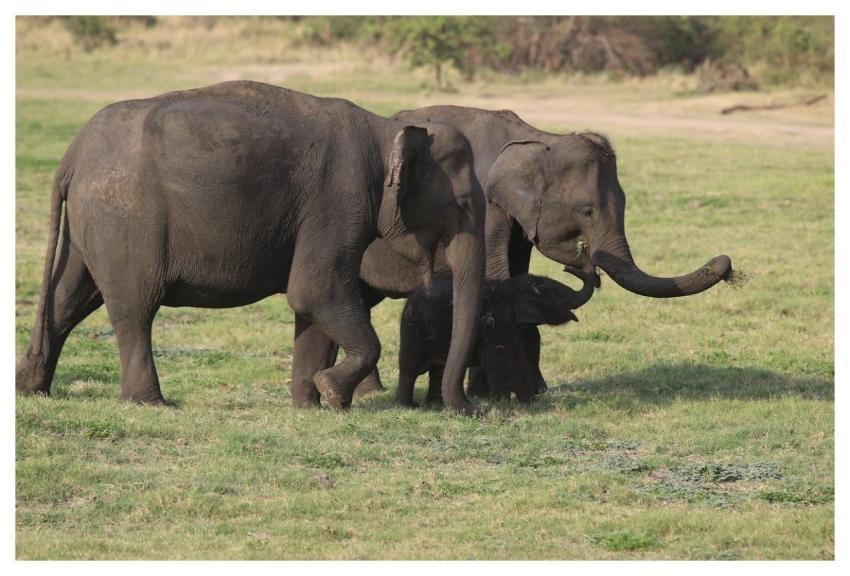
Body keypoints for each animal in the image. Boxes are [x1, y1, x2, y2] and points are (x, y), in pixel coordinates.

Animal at [15, 81, 487, 414]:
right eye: (462, 204)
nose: (471, 410)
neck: (385, 128)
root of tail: (71, 157)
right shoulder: (339, 200)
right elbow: (316, 292)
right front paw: (333, 395)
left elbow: (310, 304)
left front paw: (310, 404)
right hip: (125, 220)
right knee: (135, 307)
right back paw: (150, 402)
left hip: (92, 225)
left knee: (68, 299)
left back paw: (30, 390)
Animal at [395, 269, 595, 407]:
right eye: (561, 295)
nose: (567, 267)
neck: (512, 288)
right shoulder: (497, 324)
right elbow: (498, 359)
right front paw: (505, 402)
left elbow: (518, 357)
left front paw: (527, 402)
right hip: (413, 327)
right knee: (411, 367)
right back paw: (408, 406)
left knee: (438, 368)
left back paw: (436, 405)